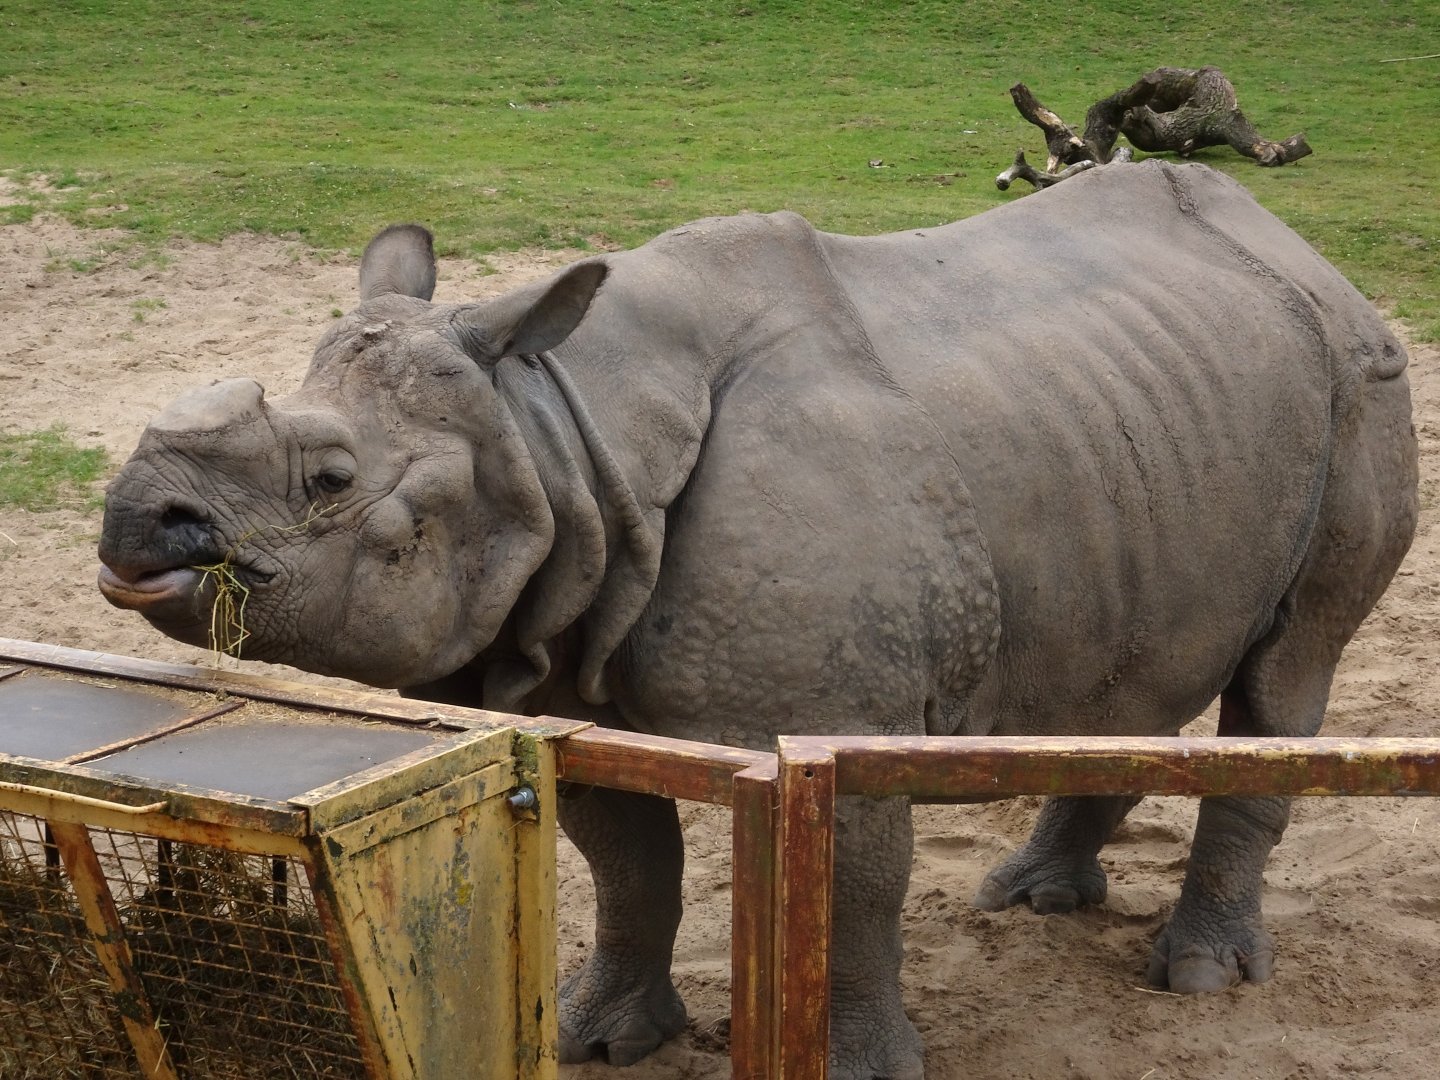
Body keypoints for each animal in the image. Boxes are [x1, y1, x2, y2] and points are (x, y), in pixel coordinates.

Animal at [97, 159, 1417, 1079]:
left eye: (328, 478)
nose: (131, 523)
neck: (556, 433)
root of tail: (1298, 247)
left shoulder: (841, 707)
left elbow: (848, 890)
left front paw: (854, 1066)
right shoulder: (561, 655)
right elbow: (627, 863)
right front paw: (597, 1039)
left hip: (1357, 379)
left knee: (1292, 664)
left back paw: (1196, 977)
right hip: (1140, 435)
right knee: (1134, 666)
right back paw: (1032, 897)